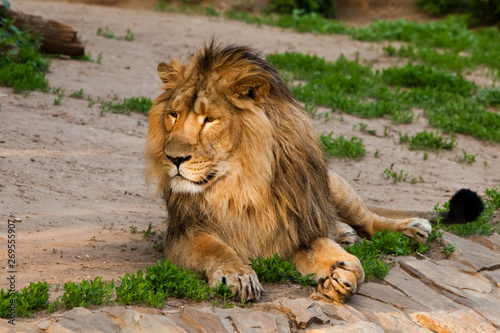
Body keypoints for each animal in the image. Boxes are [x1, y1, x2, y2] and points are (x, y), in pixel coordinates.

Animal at [146, 40, 484, 300]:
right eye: (173, 115)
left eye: (209, 120)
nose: (173, 158)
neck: (242, 186)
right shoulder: (184, 231)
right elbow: (217, 250)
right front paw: (238, 275)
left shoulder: (298, 228)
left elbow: (352, 262)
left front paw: (342, 276)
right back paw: (344, 232)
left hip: (334, 185)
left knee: (369, 220)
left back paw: (409, 228)